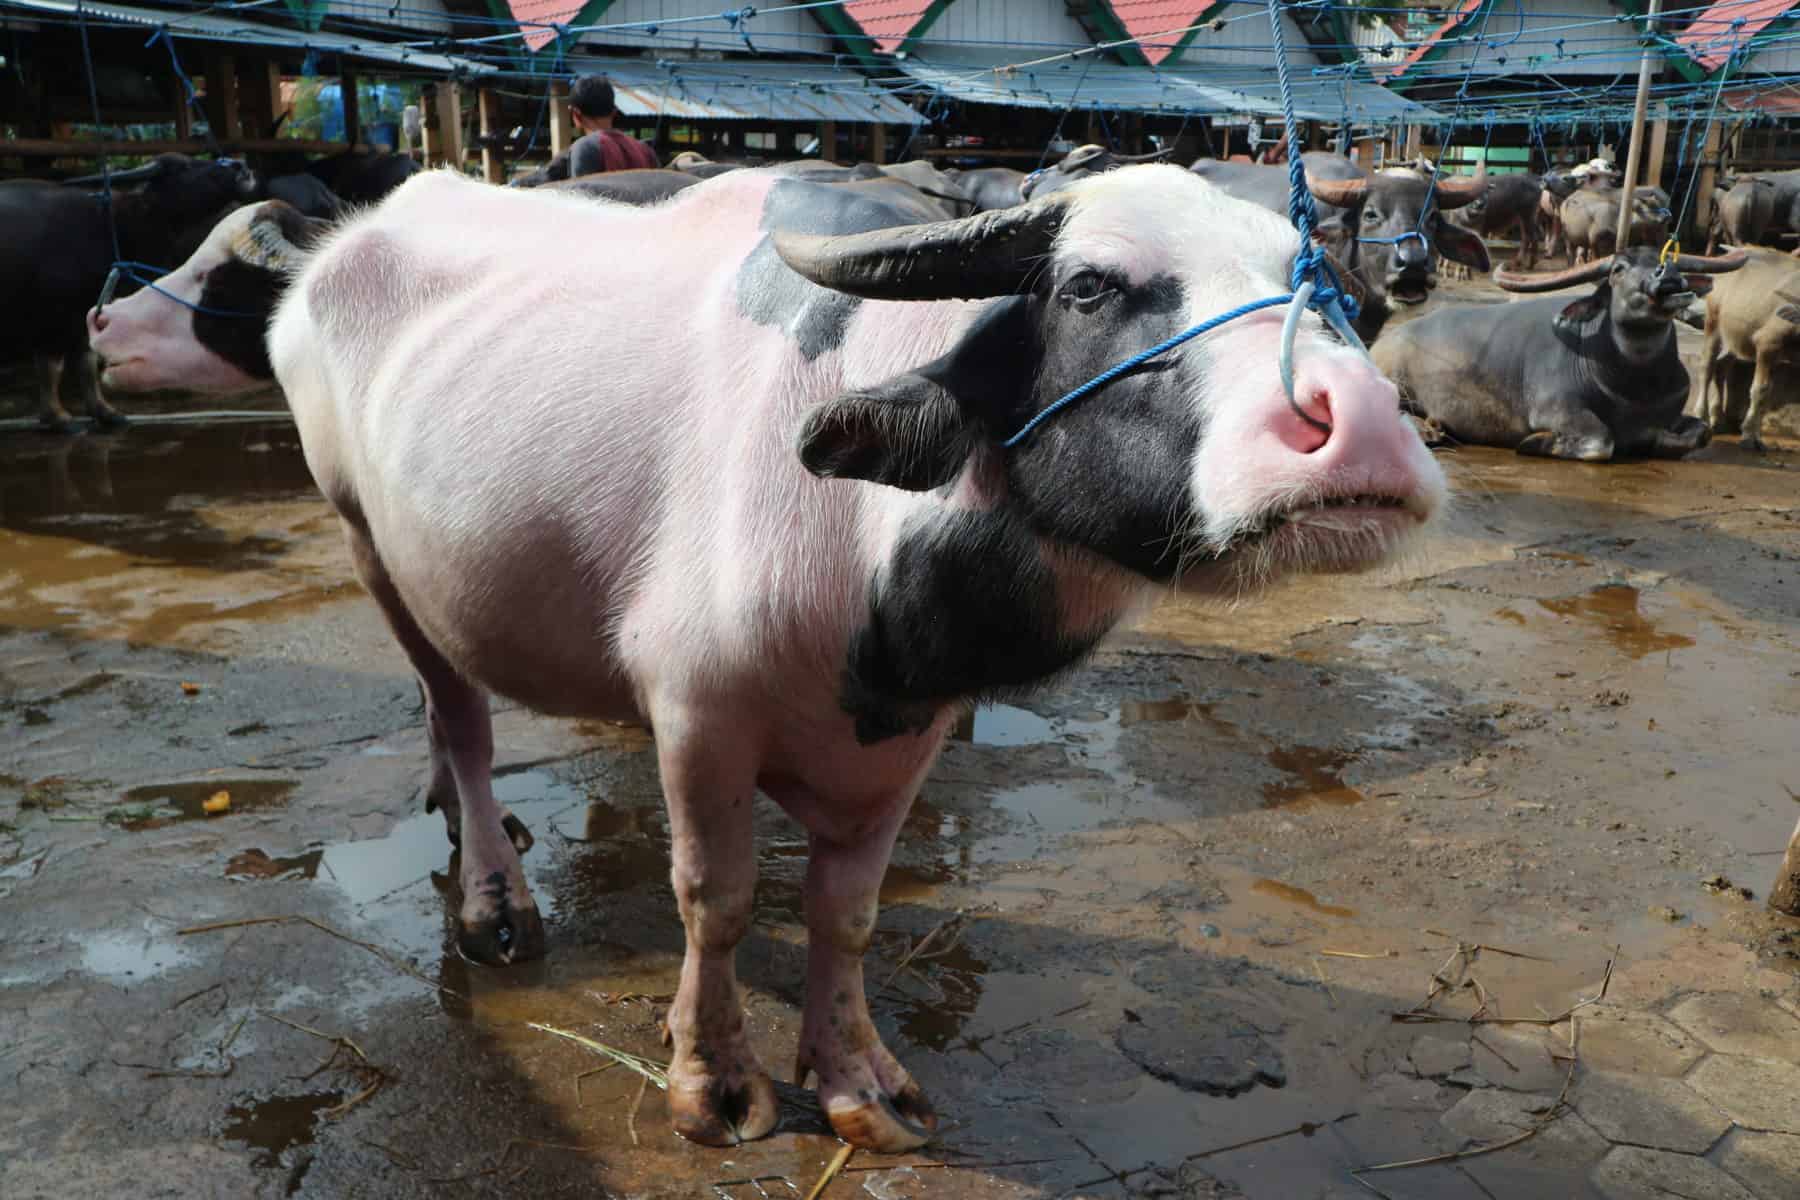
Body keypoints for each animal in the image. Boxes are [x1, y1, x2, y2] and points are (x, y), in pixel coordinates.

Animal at [0, 151, 257, 431]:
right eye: (183, 166)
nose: (240, 166)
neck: (111, 224)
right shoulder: (53, 315)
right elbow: (52, 366)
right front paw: (58, 417)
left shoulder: (89, 308)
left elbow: (88, 362)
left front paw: (105, 412)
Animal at [81, 166, 1447, 1151]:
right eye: (1093, 288)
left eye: (1320, 292)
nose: (1365, 429)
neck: (880, 562)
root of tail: (337, 252)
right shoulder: (699, 714)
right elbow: (719, 898)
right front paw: (715, 1083)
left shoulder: (909, 736)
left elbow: (847, 915)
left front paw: (858, 1084)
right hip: (369, 543)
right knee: (456, 715)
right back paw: (492, 898)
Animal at [1375, 246, 1742, 464]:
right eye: (1618, 269)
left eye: (1671, 260)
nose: (1667, 275)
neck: (1633, 386)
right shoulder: (1557, 410)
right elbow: (1600, 441)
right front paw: (1534, 442)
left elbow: (1701, 432)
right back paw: (1427, 431)